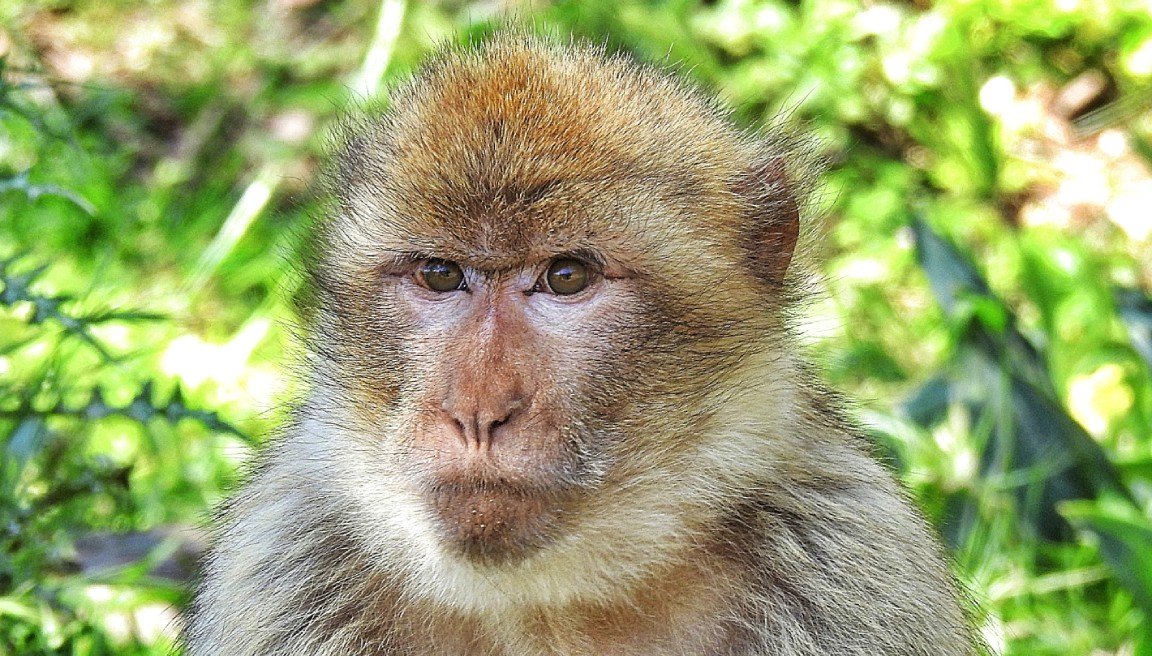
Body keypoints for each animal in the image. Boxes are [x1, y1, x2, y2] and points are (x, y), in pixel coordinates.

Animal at [183, 33, 979, 656]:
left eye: (566, 276)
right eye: (440, 274)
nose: (476, 411)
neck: (547, 600)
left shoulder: (851, 563)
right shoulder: (283, 568)